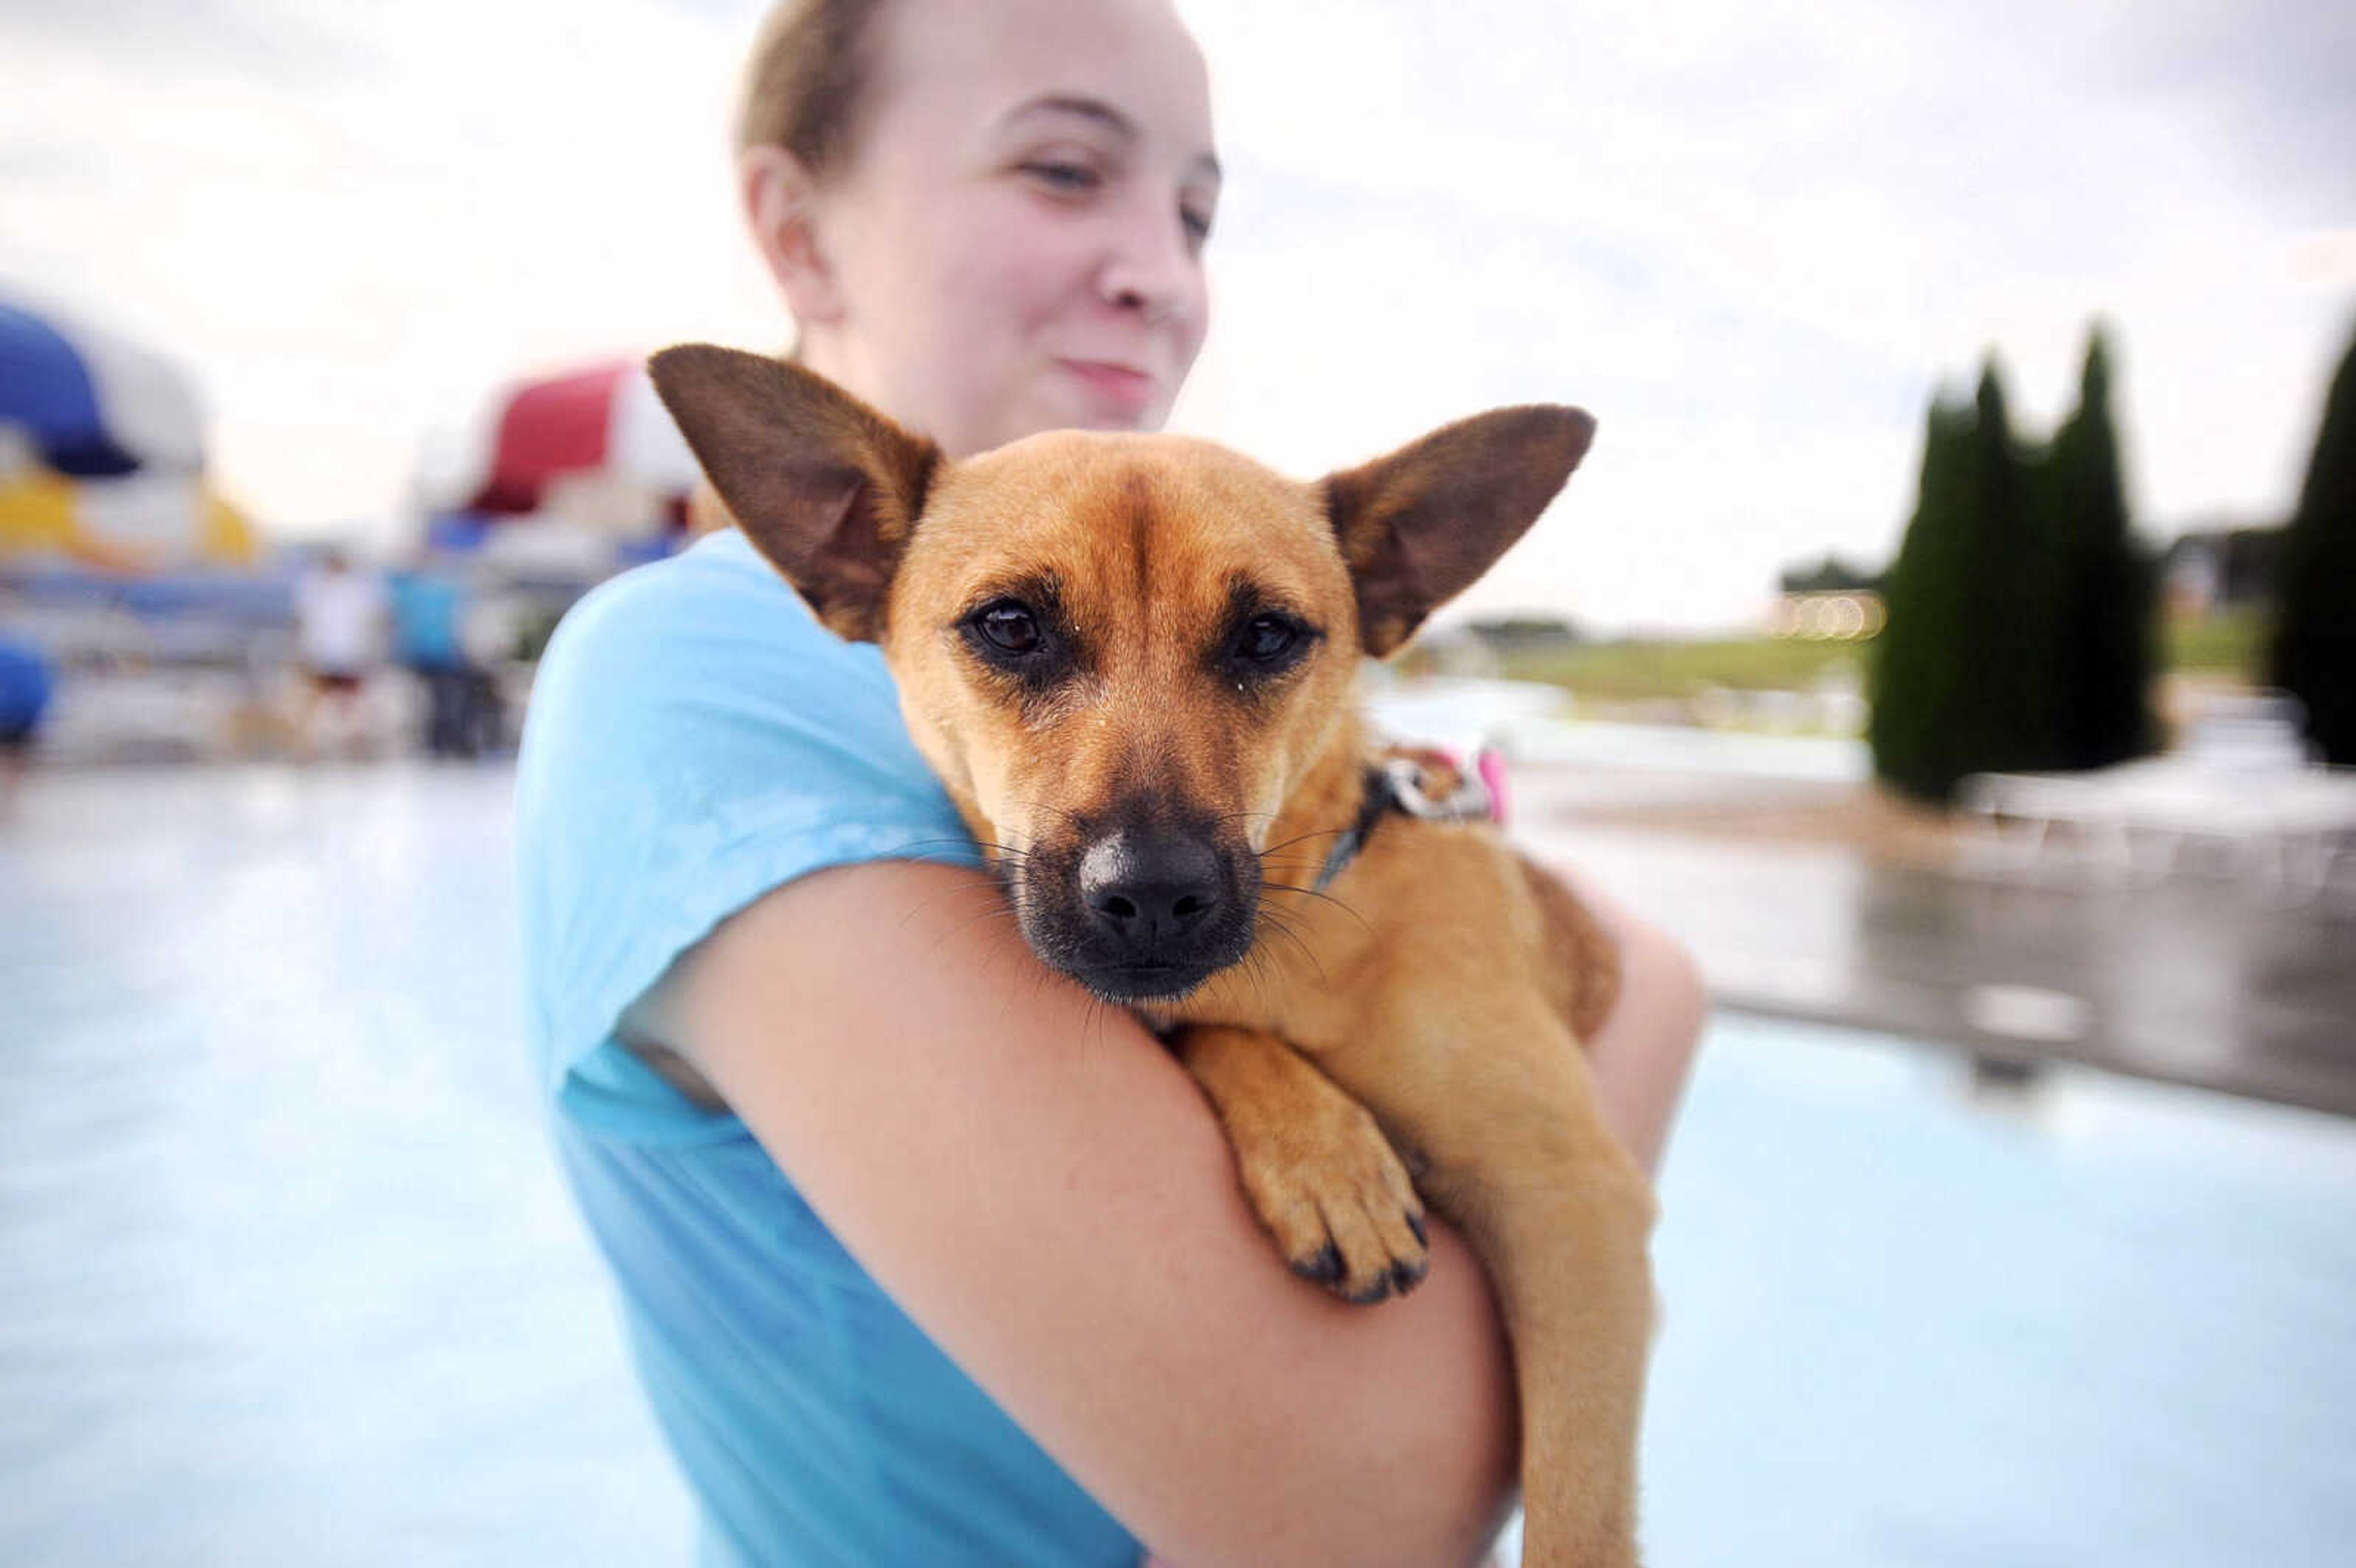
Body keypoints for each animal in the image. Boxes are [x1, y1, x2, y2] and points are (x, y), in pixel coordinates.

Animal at [645, 346, 1658, 1563]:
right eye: (1010, 625)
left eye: (1268, 635)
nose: (1157, 895)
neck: (1299, 959)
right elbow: (1212, 1032)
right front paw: (1328, 1160)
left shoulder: (1571, 1203)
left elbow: (1576, 1515)